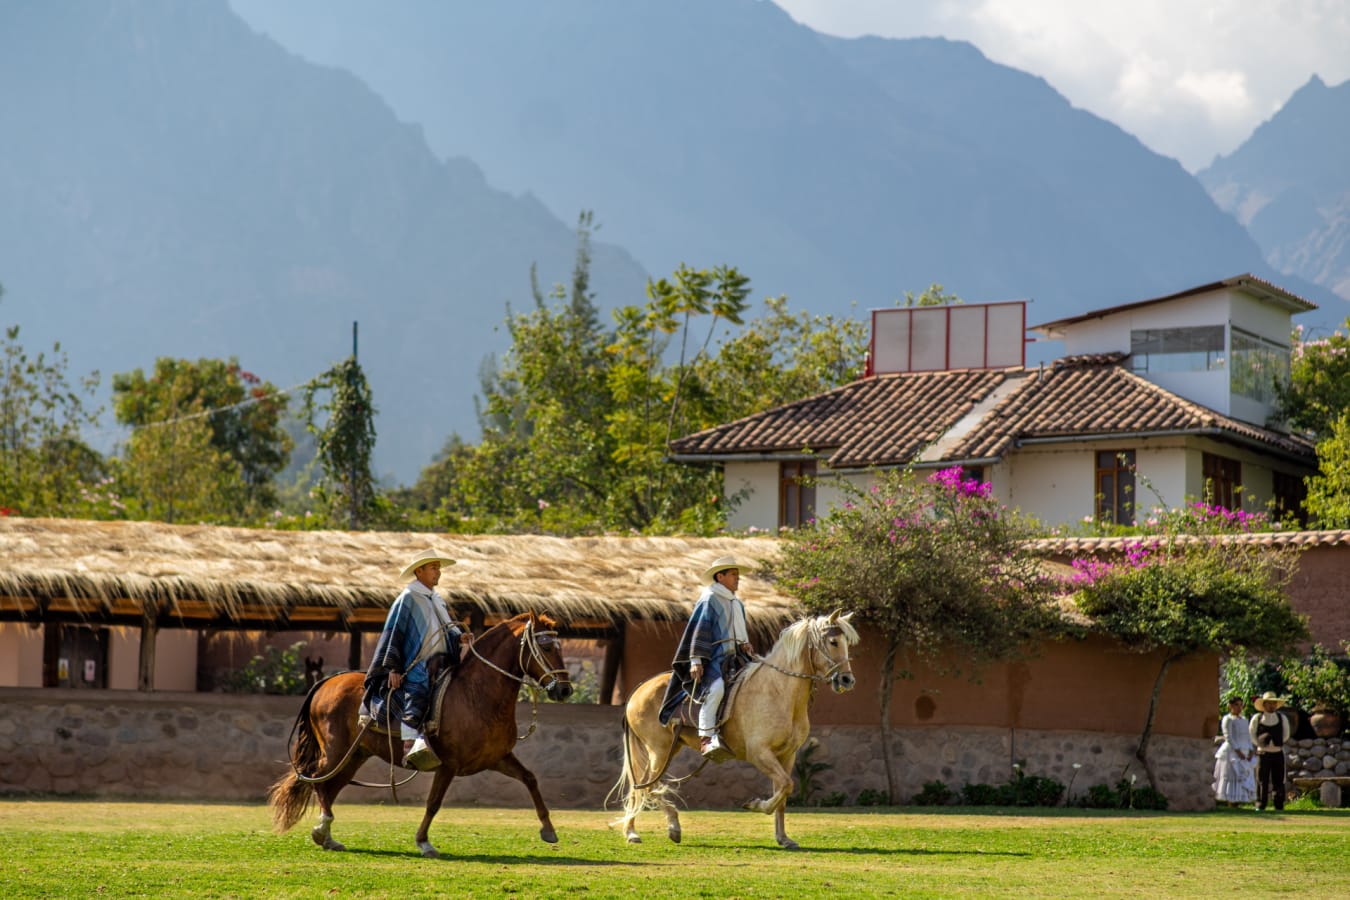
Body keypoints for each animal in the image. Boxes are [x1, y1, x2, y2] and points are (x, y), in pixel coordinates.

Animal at [268, 611, 572, 858]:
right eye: (546, 646)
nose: (565, 689)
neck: (476, 695)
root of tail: (327, 681)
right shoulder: (448, 765)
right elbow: (433, 803)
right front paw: (424, 842)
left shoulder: (497, 758)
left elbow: (530, 779)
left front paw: (549, 830)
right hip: (335, 751)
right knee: (315, 779)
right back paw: (322, 830)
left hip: (355, 755)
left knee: (329, 786)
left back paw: (328, 837)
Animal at [611, 610, 858, 849]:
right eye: (833, 641)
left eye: (847, 642)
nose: (847, 680)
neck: (777, 692)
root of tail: (638, 690)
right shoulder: (759, 753)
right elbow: (785, 786)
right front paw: (756, 805)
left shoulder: (787, 755)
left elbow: (783, 791)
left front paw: (784, 838)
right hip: (659, 750)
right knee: (648, 786)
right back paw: (671, 827)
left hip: (668, 749)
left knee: (639, 786)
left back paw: (632, 832)